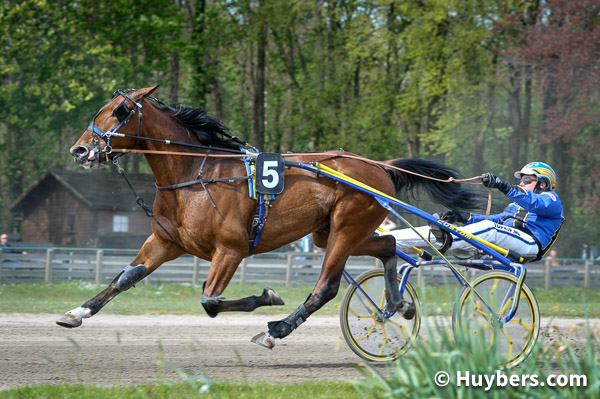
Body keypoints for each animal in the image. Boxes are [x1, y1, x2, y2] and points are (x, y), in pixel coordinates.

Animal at [58, 86, 480, 348]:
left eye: (121, 111)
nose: (80, 150)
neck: (195, 174)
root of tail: (379, 166)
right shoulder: (165, 241)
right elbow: (125, 277)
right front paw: (76, 312)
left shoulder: (230, 249)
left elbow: (210, 301)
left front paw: (267, 296)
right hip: (333, 232)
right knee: (390, 244)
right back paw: (399, 303)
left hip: (346, 228)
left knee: (326, 288)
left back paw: (278, 329)